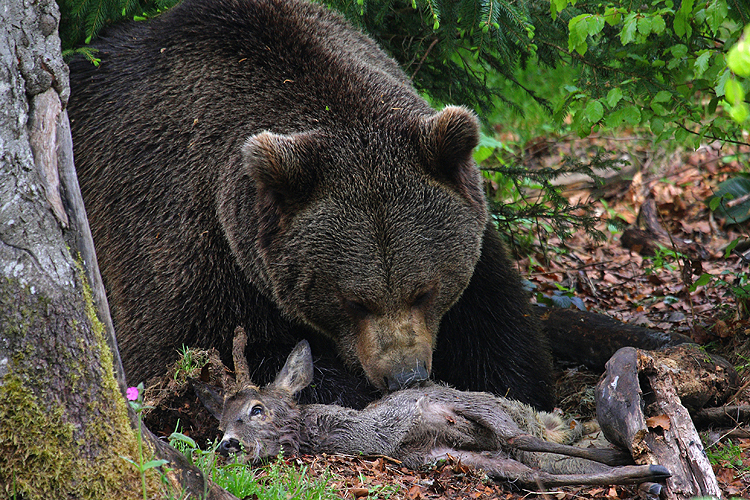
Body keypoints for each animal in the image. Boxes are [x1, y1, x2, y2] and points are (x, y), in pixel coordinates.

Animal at [67, 0, 556, 410]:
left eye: (424, 290)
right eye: (354, 301)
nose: (405, 376)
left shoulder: (474, 237)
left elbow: (497, 329)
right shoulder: (183, 230)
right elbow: (187, 353)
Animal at [203, 330, 672, 490]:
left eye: (257, 409)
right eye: (220, 423)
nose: (227, 445)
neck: (379, 433)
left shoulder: (452, 401)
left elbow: (517, 436)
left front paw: (630, 454)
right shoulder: (437, 456)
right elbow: (535, 473)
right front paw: (647, 468)